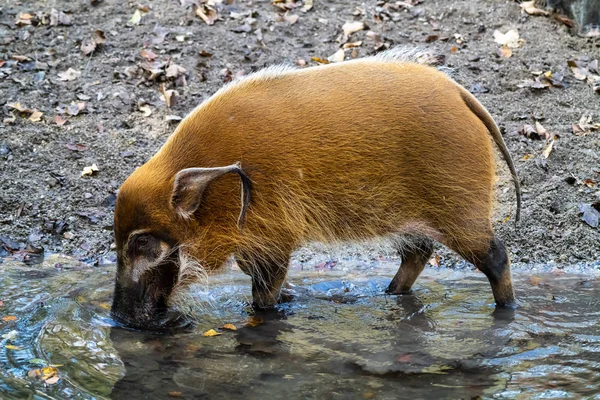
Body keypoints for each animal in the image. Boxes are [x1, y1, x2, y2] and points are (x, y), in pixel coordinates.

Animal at [111, 47, 520, 328]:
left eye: (142, 243)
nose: (118, 318)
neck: (212, 198)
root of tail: (459, 93)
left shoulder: (274, 238)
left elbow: (263, 293)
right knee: (418, 253)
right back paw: (388, 294)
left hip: (459, 209)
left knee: (496, 255)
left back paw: (507, 311)